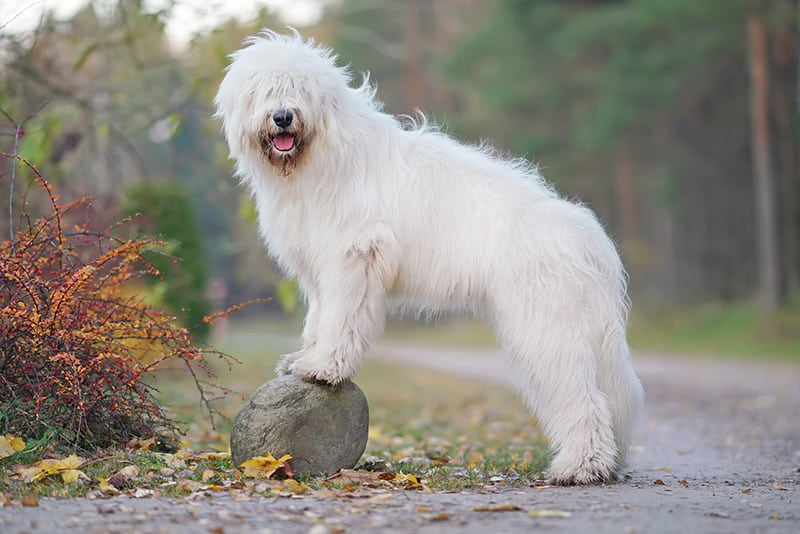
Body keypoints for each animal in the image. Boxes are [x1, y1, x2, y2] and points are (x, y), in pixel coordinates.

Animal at [216, 31, 648, 488]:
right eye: (264, 89)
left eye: (299, 88)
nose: (283, 116)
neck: (322, 158)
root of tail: (587, 235)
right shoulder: (320, 269)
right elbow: (319, 317)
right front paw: (303, 359)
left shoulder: (354, 256)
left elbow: (341, 319)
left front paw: (325, 367)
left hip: (547, 328)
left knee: (585, 401)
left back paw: (581, 467)